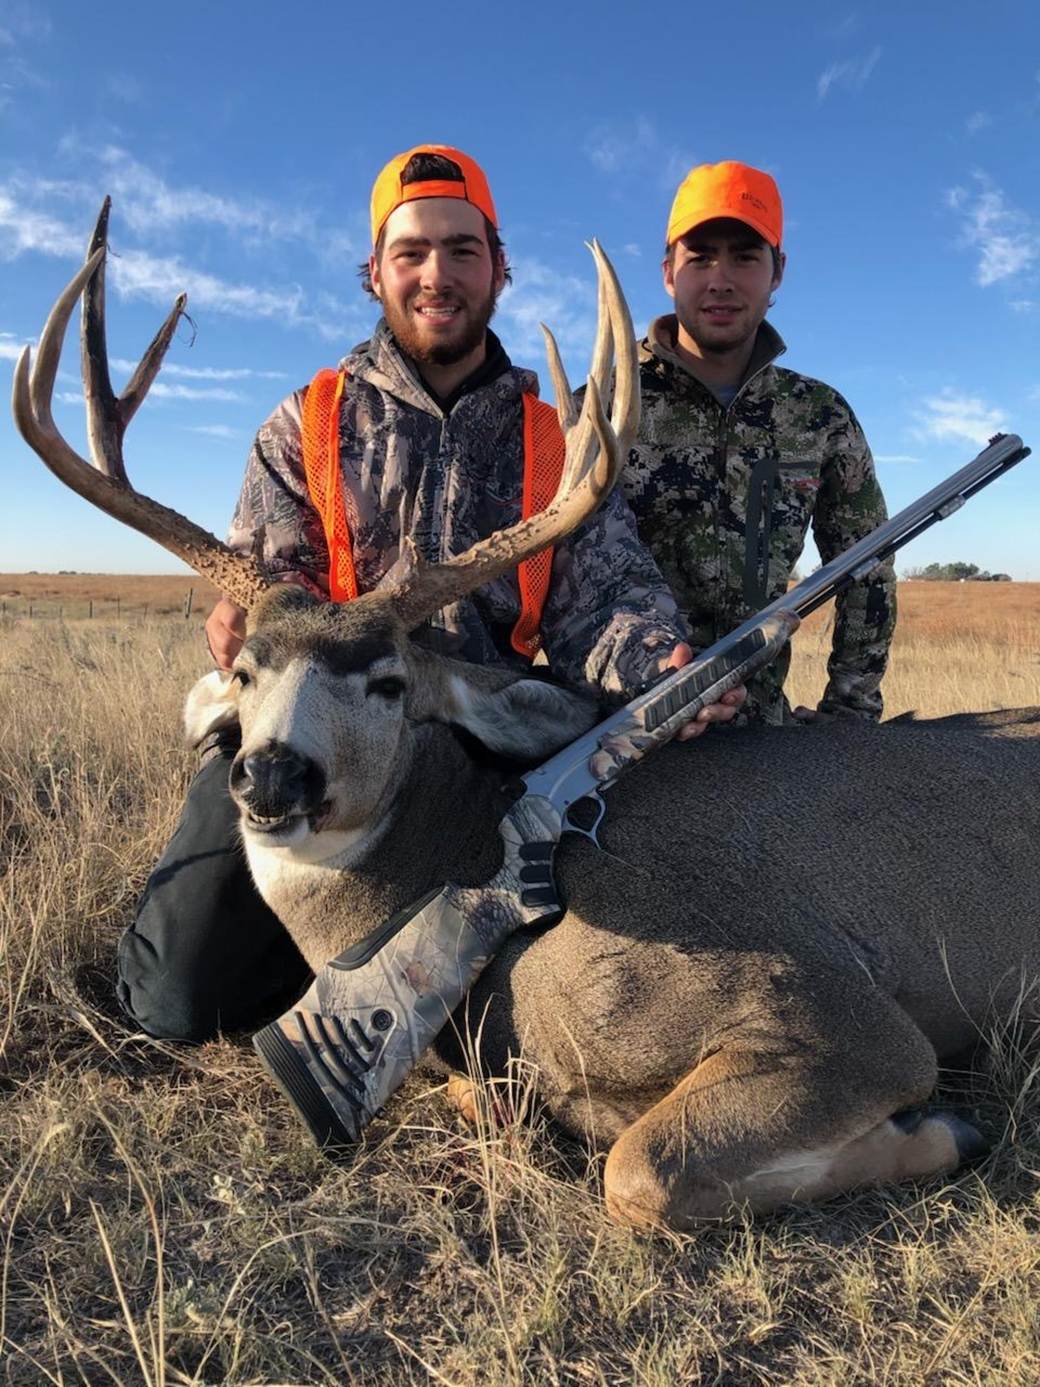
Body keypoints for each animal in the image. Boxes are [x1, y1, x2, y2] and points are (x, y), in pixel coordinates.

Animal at [12, 207, 1040, 1231]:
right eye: (243, 668)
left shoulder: (833, 1009)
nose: (271, 774)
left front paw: (944, 1129)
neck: (465, 872)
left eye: (390, 681)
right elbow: (522, 1113)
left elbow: (639, 1167)